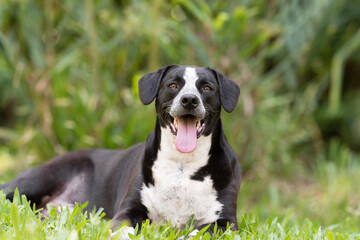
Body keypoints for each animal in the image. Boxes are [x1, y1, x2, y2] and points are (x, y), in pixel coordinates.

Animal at [1, 64, 242, 237]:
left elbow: (199, 232)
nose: (189, 100)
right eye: (173, 85)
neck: (183, 165)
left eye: (207, 88)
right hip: (37, 180)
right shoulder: (129, 210)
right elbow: (123, 228)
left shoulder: (226, 223)